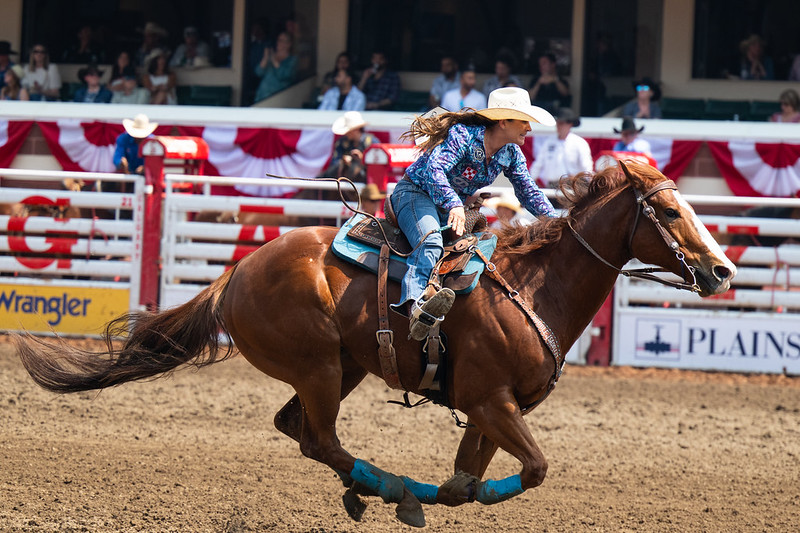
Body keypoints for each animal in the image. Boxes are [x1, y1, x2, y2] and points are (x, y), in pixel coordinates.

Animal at [14, 160, 736, 524]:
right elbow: (531, 468)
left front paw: (450, 491)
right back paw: (392, 489)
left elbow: (468, 479)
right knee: (321, 438)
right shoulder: (491, 402)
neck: (534, 287)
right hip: (317, 367)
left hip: (344, 366)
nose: (722, 270)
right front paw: (435, 494)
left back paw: (378, 490)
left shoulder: (490, 411)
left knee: (300, 431)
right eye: (668, 211)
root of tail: (235, 271)